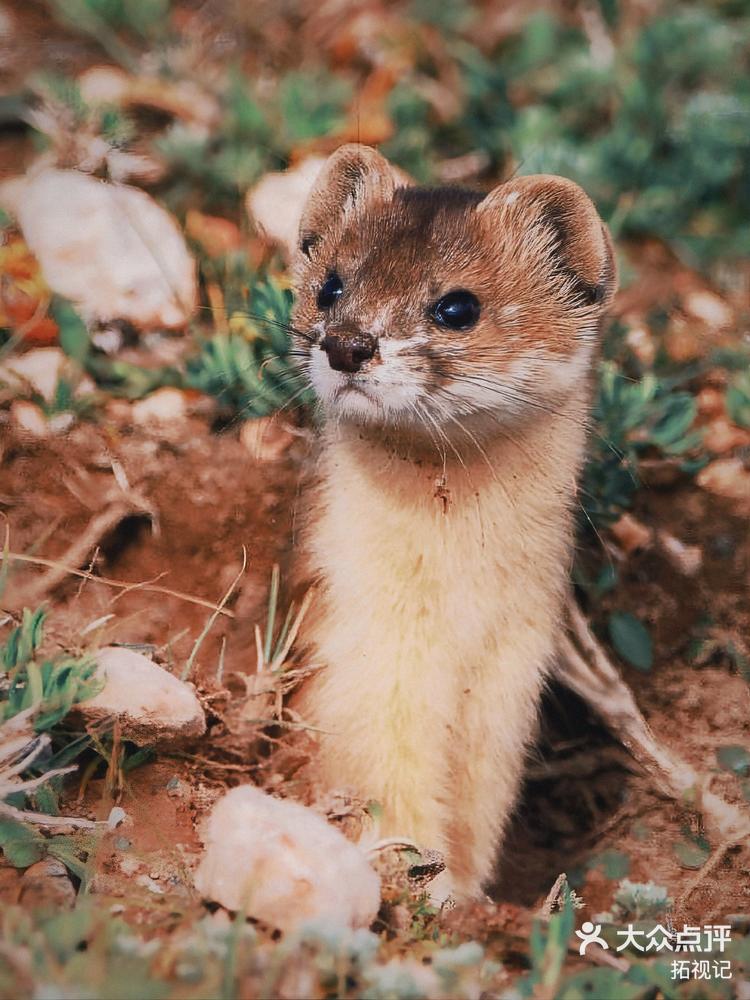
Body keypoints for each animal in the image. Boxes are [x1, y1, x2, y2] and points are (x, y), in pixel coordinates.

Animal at [288, 145, 616, 904]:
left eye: (458, 306)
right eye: (330, 285)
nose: (348, 343)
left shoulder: (513, 672)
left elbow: (481, 798)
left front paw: (464, 892)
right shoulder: (361, 662)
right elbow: (386, 785)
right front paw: (418, 883)